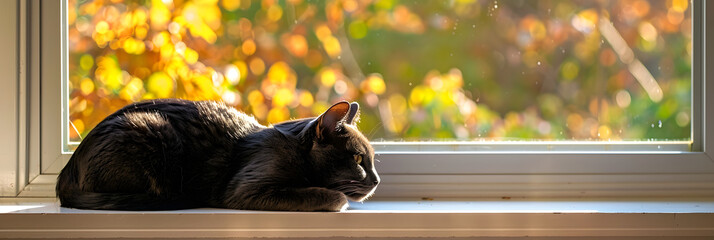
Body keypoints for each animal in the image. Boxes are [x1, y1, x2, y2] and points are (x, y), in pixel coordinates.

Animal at [55, 98, 378, 211]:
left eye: (373, 160)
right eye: (357, 159)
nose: (376, 180)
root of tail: (64, 176)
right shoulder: (247, 189)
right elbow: (326, 194)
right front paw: (336, 199)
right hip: (152, 128)